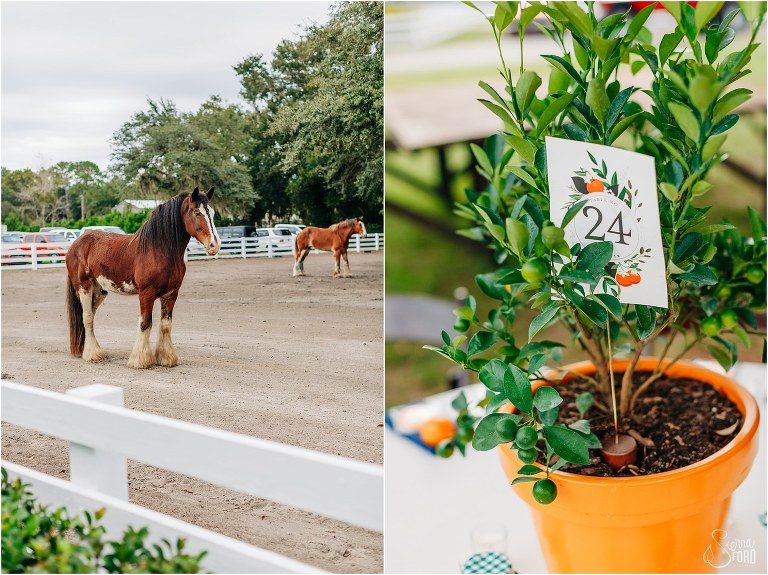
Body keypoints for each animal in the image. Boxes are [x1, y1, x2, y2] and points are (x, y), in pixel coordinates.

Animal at [65, 187, 220, 369]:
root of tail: (76, 244)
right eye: (197, 212)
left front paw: (166, 358)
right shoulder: (146, 293)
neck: (159, 250)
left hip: (100, 290)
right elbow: (145, 323)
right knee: (87, 317)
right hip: (84, 286)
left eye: (213, 213)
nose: (214, 245)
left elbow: (166, 324)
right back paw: (92, 354)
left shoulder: (171, 294)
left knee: (89, 315)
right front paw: (140, 360)